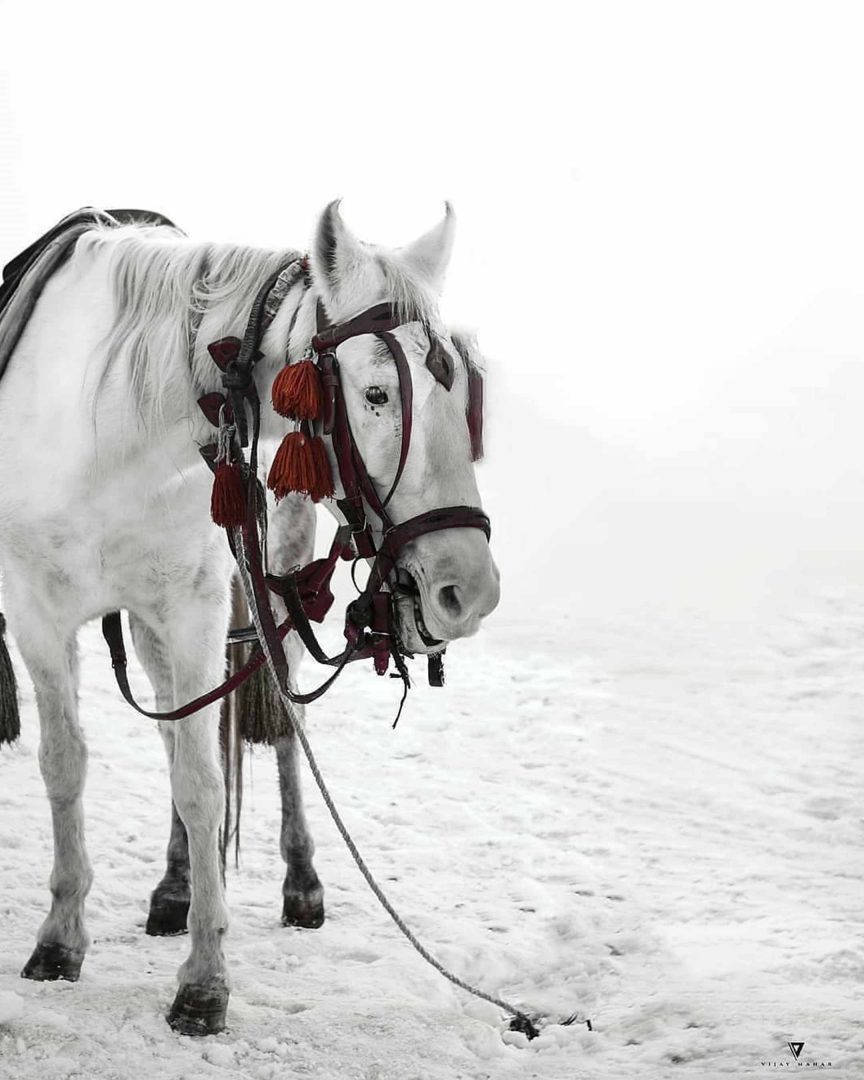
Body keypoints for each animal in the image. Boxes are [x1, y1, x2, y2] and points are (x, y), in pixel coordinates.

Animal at [0, 202, 499, 1035]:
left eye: (465, 396)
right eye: (375, 394)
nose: (473, 590)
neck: (111, 426)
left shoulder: (195, 608)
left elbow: (201, 780)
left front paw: (204, 980)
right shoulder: (37, 613)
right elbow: (67, 763)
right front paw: (62, 936)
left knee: (269, 716)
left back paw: (299, 879)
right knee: (174, 723)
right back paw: (173, 888)